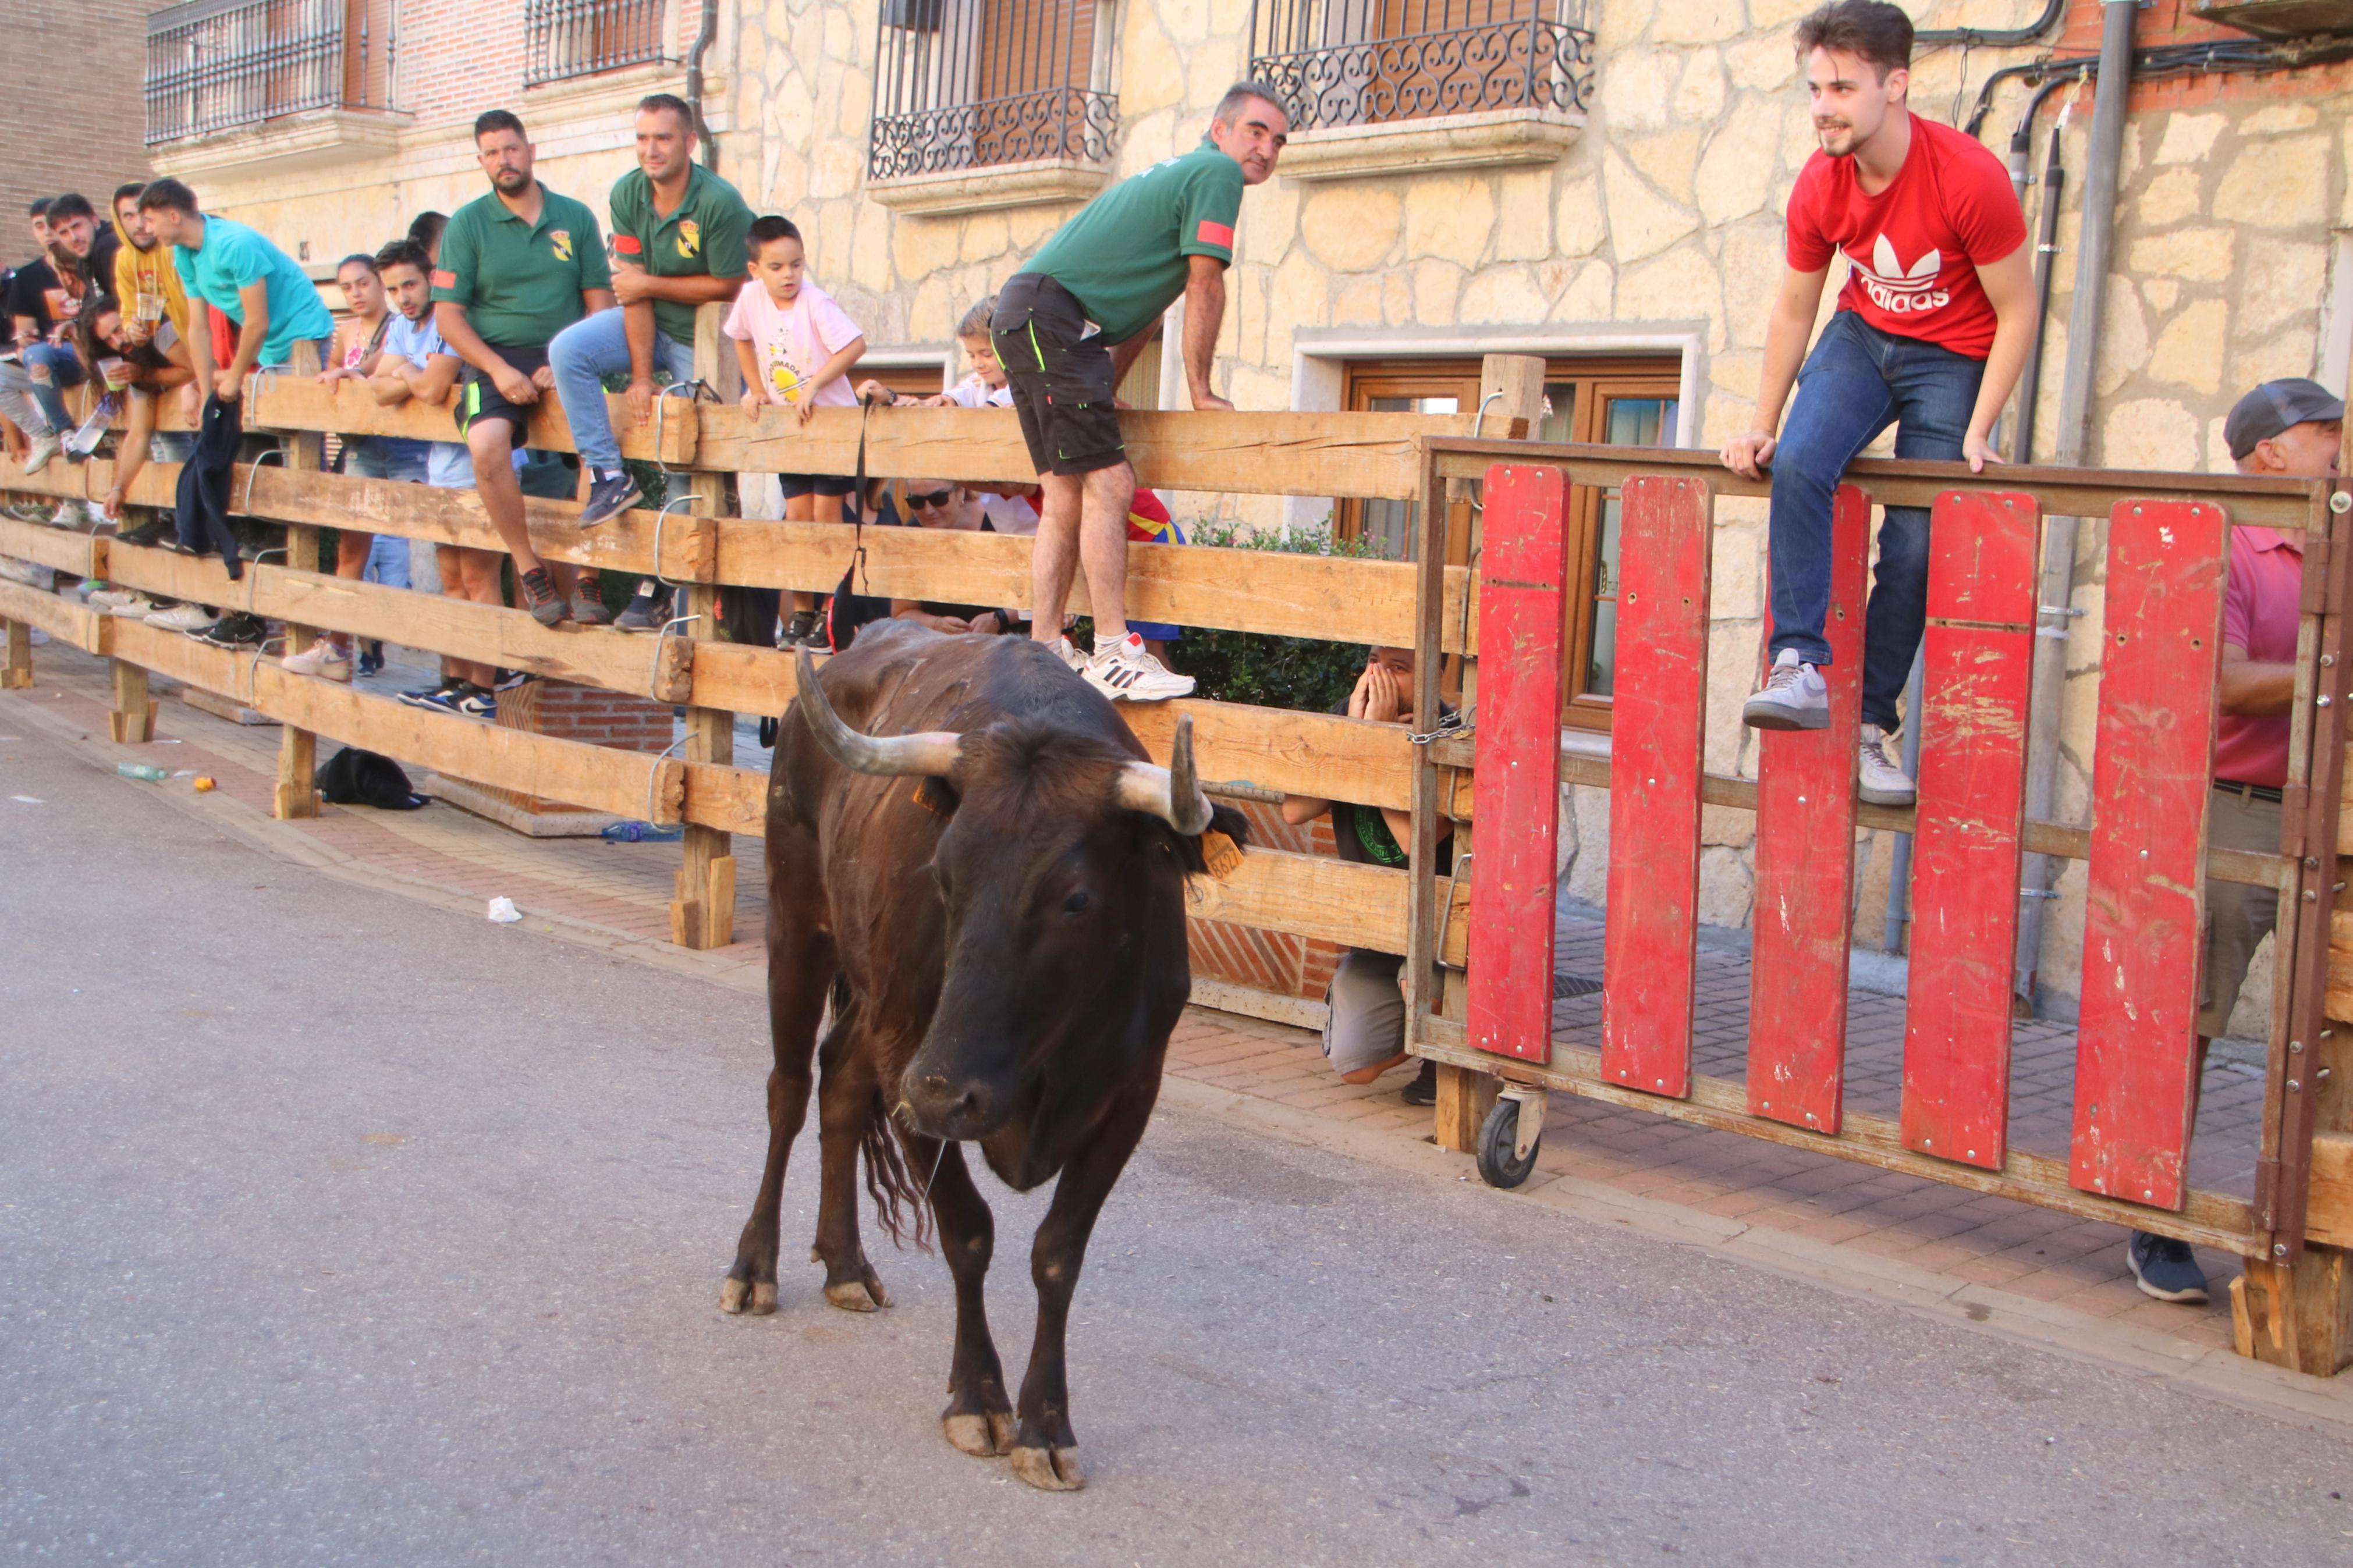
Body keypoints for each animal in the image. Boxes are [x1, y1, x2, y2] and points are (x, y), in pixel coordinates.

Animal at [720, 620, 1251, 1495]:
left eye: (1076, 898)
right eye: (942, 872)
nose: (944, 1096)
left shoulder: (1129, 1092)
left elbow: (1057, 1253)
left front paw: (1046, 1424)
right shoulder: (909, 1056)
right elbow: (966, 1232)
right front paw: (978, 1398)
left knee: (838, 1087)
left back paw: (845, 1264)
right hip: (798, 922)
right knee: (788, 1089)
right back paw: (753, 1267)